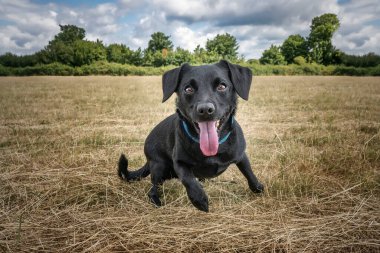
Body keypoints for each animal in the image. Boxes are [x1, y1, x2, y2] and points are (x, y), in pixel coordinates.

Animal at [117, 59, 262, 211]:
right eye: (188, 89)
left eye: (222, 86)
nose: (205, 109)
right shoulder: (179, 162)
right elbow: (188, 179)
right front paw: (199, 199)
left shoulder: (241, 155)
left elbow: (249, 172)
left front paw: (258, 187)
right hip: (158, 166)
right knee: (153, 189)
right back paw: (157, 202)